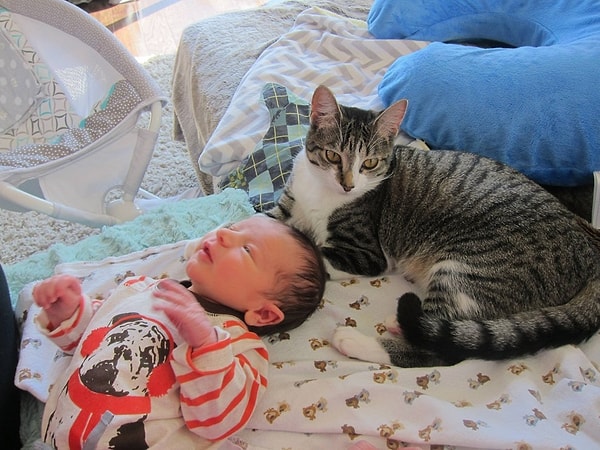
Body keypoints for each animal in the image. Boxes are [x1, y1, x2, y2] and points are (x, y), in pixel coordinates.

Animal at [270, 85, 600, 370]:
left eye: (370, 163)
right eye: (332, 155)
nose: (348, 185)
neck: (319, 192)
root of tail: (587, 250)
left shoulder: (365, 251)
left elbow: (316, 252)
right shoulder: (289, 205)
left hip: (468, 270)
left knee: (442, 350)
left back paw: (358, 340)